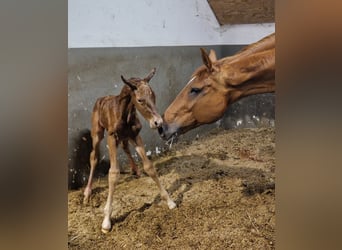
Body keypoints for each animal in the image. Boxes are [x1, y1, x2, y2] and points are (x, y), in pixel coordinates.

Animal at [83, 68, 176, 232]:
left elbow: (149, 167)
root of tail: (100, 98)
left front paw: (169, 201)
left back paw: (135, 170)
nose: (158, 122)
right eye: (139, 100)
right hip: (97, 133)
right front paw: (106, 220)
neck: (124, 114)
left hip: (125, 137)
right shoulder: (112, 138)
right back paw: (87, 193)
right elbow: (113, 173)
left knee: (126, 148)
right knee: (94, 156)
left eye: (154, 96)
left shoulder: (135, 135)